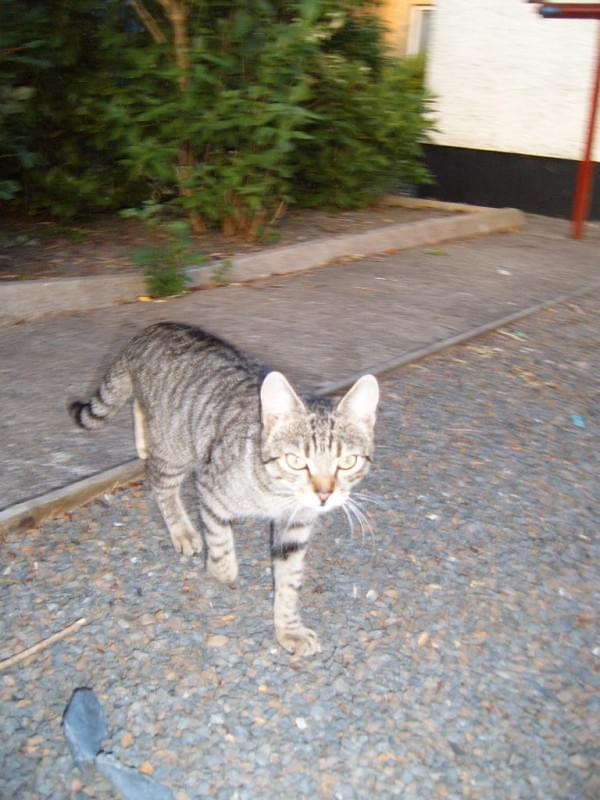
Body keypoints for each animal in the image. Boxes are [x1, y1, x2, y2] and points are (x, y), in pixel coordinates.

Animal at [70, 322, 379, 656]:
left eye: (347, 462)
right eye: (296, 461)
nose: (324, 495)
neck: (275, 493)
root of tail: (153, 328)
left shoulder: (295, 527)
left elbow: (289, 582)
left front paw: (288, 629)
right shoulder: (210, 488)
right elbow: (219, 542)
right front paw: (220, 572)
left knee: (138, 407)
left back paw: (141, 444)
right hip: (175, 450)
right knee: (160, 485)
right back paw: (182, 531)